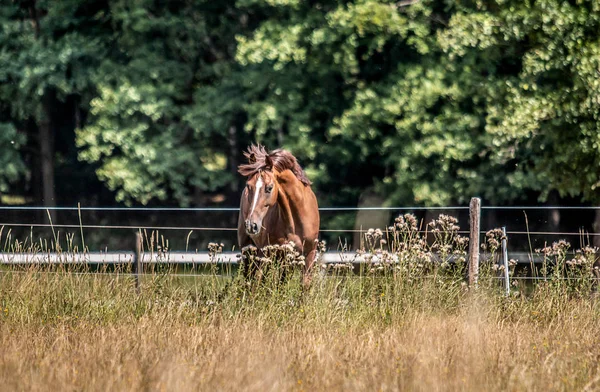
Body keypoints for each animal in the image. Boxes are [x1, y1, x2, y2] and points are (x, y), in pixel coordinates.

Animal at [238, 144, 322, 284]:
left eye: (269, 188)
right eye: (248, 186)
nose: (251, 225)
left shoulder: (308, 255)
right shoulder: (269, 254)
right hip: (250, 251)